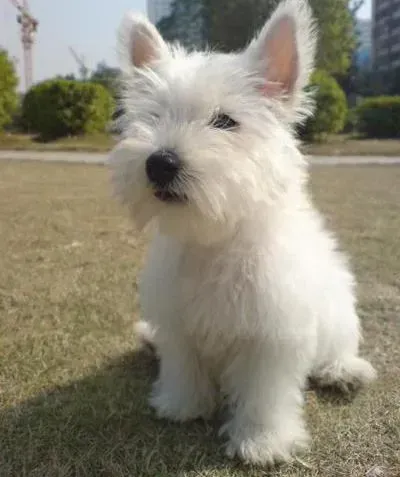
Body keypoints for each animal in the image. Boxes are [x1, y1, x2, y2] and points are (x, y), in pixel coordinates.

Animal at [108, 0, 376, 464]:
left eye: (225, 122)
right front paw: (181, 405)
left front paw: (261, 441)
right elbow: (182, 364)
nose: (159, 163)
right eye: (154, 116)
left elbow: (263, 394)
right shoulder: (177, 319)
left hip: (339, 311)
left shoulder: (273, 335)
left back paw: (345, 371)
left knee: (339, 346)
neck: (215, 238)